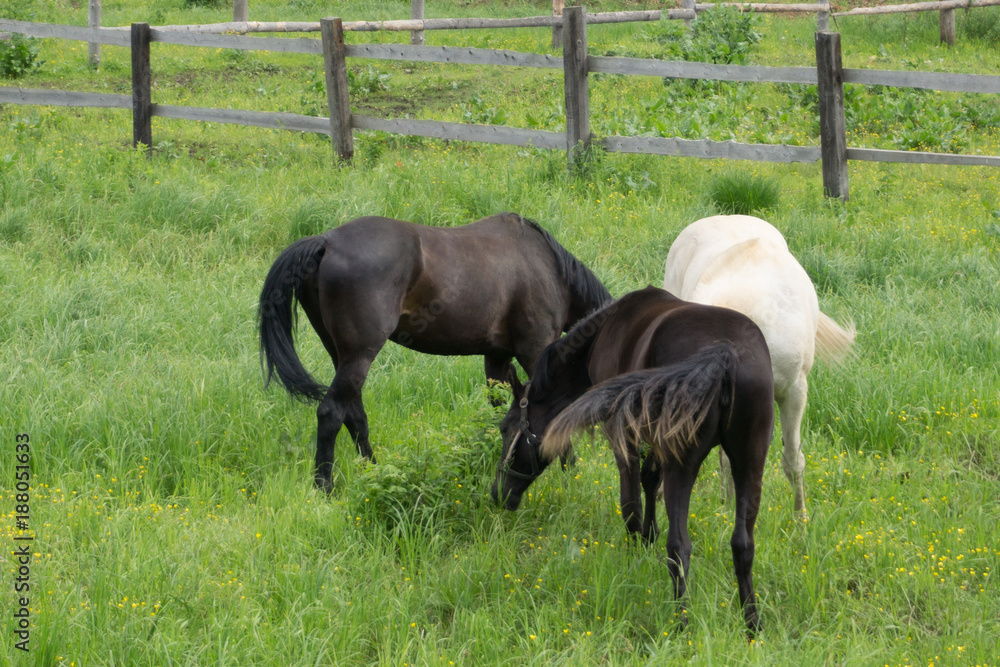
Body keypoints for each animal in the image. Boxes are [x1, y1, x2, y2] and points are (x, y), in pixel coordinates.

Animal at [258, 212, 612, 491]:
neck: (548, 268)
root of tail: (326, 242)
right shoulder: (535, 350)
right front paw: (571, 473)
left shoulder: (497, 358)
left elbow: (501, 411)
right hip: (360, 355)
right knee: (331, 413)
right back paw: (325, 487)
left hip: (342, 356)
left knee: (354, 415)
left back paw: (374, 473)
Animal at [491, 286, 774, 633]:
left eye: (506, 429)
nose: (497, 493)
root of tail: (724, 354)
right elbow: (649, 480)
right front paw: (648, 539)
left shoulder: (623, 435)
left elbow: (631, 506)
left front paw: (634, 556)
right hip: (750, 460)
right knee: (743, 545)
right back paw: (752, 625)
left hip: (684, 463)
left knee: (679, 546)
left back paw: (682, 624)